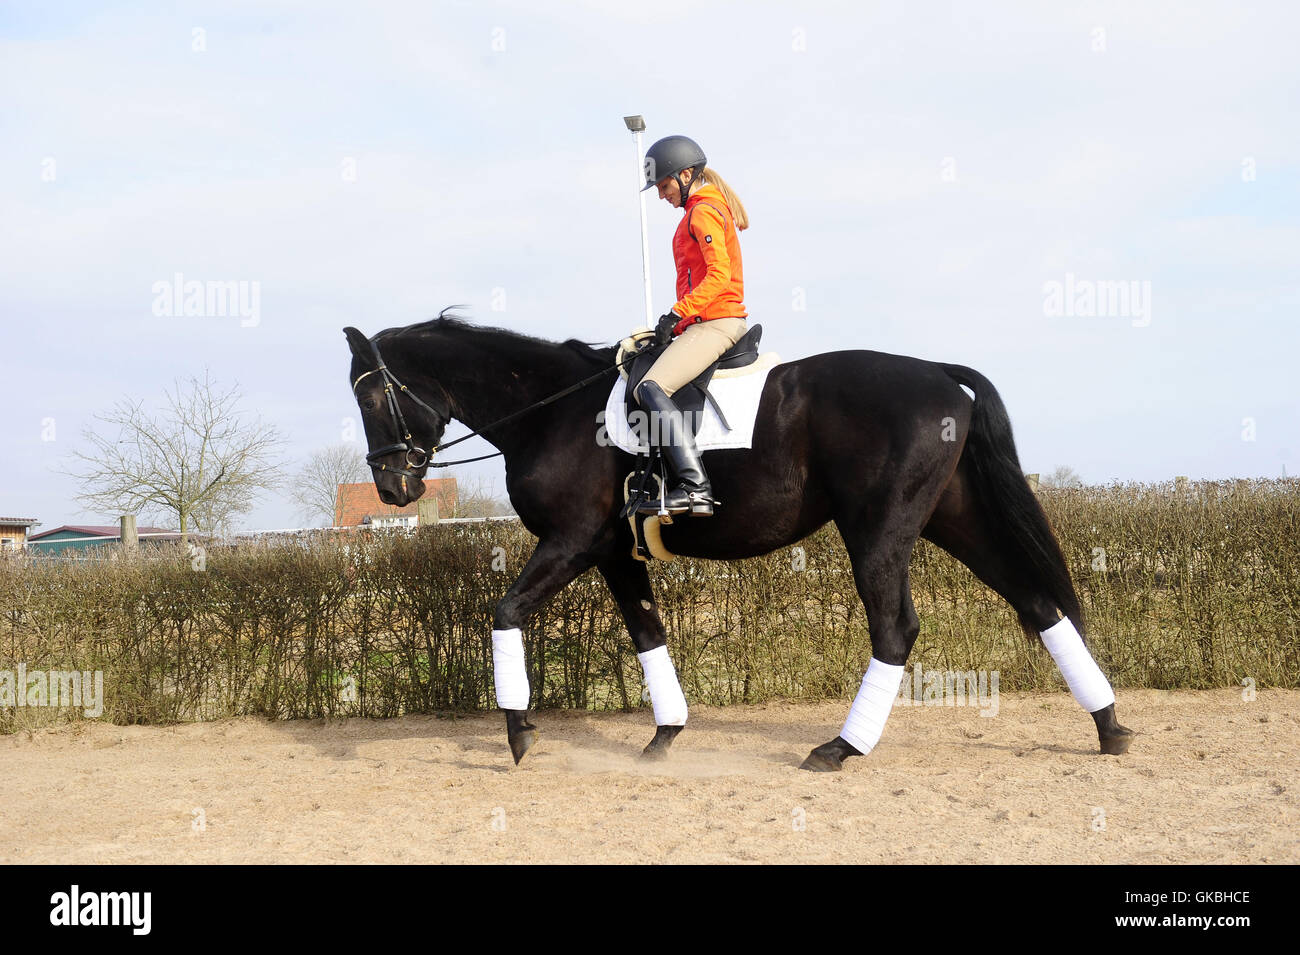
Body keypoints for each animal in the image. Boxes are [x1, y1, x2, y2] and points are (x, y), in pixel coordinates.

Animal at [340, 317, 1133, 774]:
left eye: (371, 395)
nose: (391, 488)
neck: (551, 410)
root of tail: (938, 373)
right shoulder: (615, 553)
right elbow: (648, 635)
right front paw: (665, 734)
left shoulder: (571, 542)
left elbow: (504, 613)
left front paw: (517, 732)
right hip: (950, 517)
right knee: (1036, 602)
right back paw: (1109, 727)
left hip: (879, 527)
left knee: (895, 628)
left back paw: (842, 748)